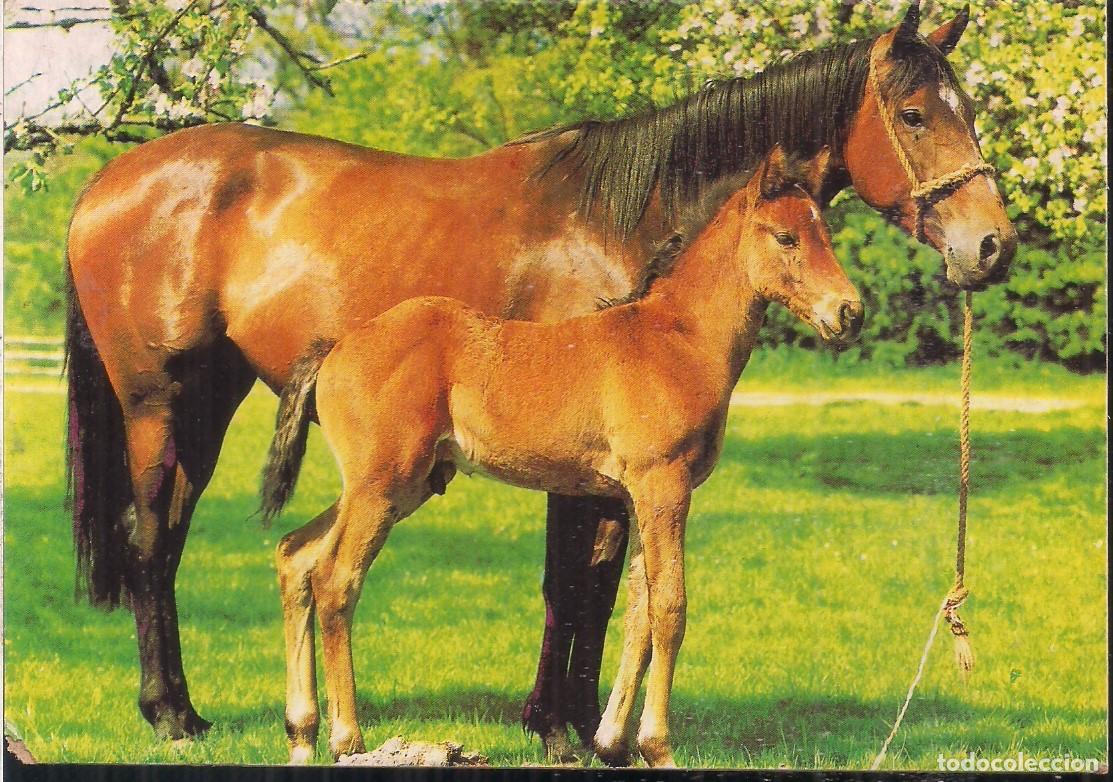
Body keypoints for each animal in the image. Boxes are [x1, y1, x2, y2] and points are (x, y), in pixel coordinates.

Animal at [259, 146, 861, 766]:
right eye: (786, 237)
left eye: (826, 231)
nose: (849, 312)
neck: (678, 339)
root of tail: (337, 346)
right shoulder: (663, 485)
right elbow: (670, 607)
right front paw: (658, 745)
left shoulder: (636, 497)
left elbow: (638, 608)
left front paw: (612, 741)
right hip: (382, 485)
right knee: (337, 580)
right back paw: (346, 737)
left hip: (397, 485)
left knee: (296, 556)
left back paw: (301, 733)